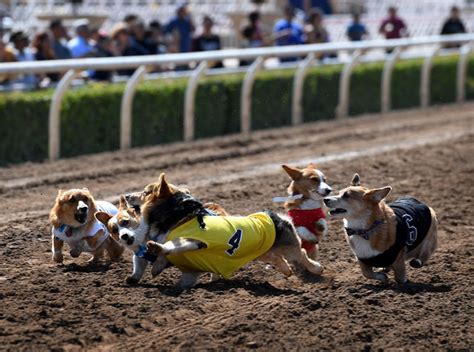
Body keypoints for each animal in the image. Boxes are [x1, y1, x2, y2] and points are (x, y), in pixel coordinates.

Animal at [123, 172, 322, 290]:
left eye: (145, 192)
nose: (126, 195)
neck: (177, 215)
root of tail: (276, 216)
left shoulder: (194, 241)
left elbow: (170, 246)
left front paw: (157, 258)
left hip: (289, 248)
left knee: (302, 254)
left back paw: (316, 268)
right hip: (262, 253)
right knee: (277, 259)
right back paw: (287, 270)